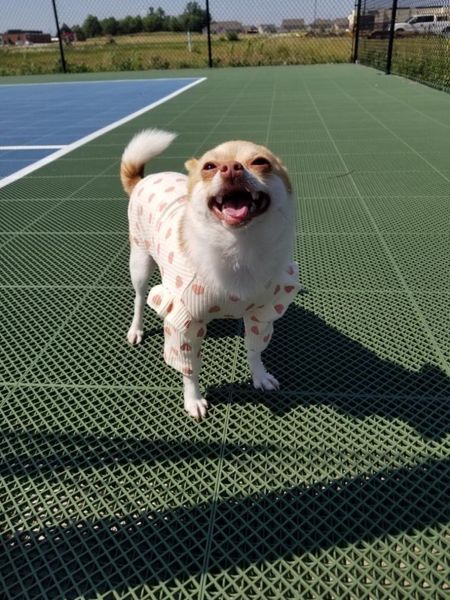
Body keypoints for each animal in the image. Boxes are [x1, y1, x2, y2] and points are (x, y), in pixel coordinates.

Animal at [121, 129, 300, 420]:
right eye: (209, 167)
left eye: (260, 162)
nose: (231, 168)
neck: (238, 249)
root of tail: (144, 179)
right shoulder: (183, 322)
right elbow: (189, 368)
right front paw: (193, 399)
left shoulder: (261, 312)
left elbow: (254, 349)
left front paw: (260, 376)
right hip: (140, 261)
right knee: (139, 297)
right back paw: (136, 329)